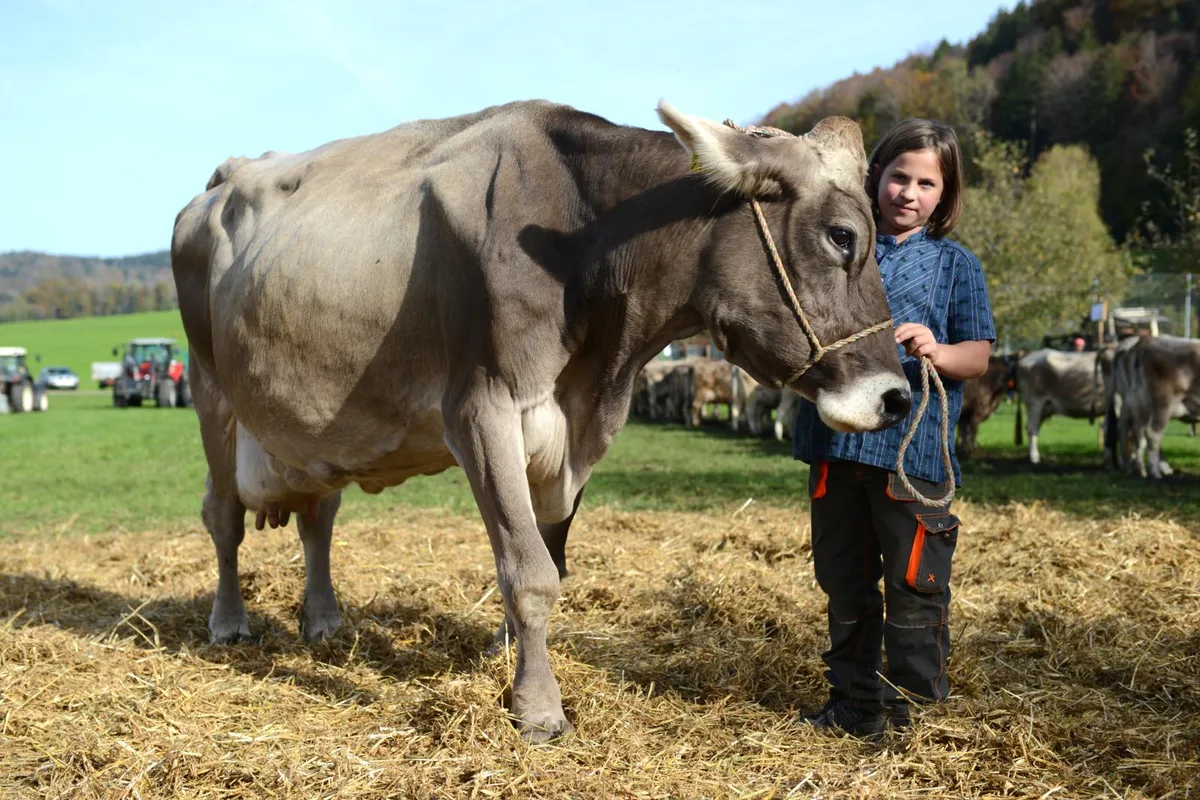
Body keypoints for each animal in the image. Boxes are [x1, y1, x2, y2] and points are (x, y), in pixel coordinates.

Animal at [171, 99, 911, 742]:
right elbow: (529, 571)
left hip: (315, 432)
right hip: (211, 395)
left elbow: (544, 556)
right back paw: (229, 622)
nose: (896, 397)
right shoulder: (481, 409)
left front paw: (507, 659)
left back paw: (323, 618)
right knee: (223, 516)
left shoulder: (576, 433)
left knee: (318, 516)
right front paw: (537, 707)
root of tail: (223, 177)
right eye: (843, 236)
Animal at [1107, 335, 1200, 478]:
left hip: (1137, 402)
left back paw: (1136, 468)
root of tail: (1143, 341)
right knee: (1152, 433)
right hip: (1162, 402)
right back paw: (1155, 471)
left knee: (1132, 430)